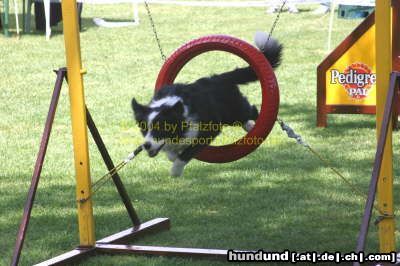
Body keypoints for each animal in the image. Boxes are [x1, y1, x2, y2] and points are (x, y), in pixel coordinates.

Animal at [131, 31, 282, 177]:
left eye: (161, 128)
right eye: (143, 129)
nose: (146, 145)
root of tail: (219, 78)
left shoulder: (208, 129)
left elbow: (187, 153)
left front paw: (175, 171)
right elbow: (171, 153)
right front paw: (173, 155)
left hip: (234, 109)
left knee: (252, 111)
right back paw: (249, 125)